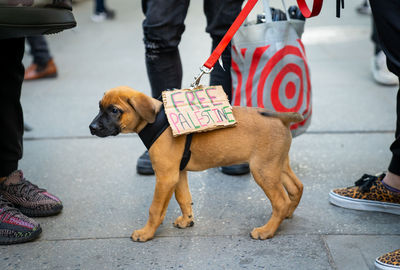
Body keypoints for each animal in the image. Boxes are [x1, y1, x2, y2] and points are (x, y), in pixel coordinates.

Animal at [90, 85, 304, 242]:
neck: (155, 122)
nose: (91, 127)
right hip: (276, 165)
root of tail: (281, 118)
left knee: (281, 201)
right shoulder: (178, 173)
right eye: (100, 107)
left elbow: (155, 209)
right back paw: (286, 216)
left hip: (263, 170)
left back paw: (267, 230)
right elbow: (184, 198)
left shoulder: (165, 177)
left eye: (115, 110)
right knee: (296, 188)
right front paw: (187, 220)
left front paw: (146, 233)